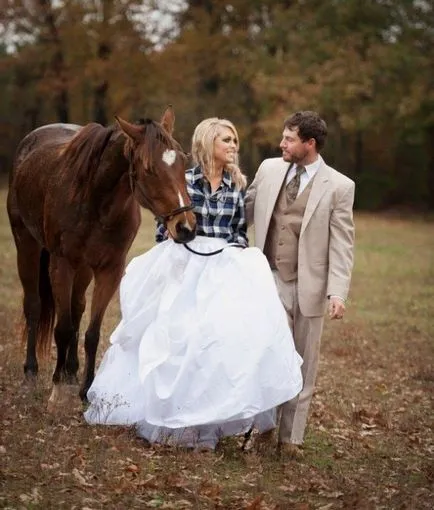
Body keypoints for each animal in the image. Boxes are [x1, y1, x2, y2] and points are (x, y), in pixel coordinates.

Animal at [6, 105, 196, 404]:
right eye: (149, 169)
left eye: (182, 162)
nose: (185, 227)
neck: (97, 202)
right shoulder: (62, 264)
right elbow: (62, 328)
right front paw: (56, 390)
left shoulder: (109, 270)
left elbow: (91, 332)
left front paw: (86, 390)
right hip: (27, 244)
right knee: (34, 306)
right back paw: (32, 373)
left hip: (83, 268)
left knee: (76, 307)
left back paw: (71, 372)